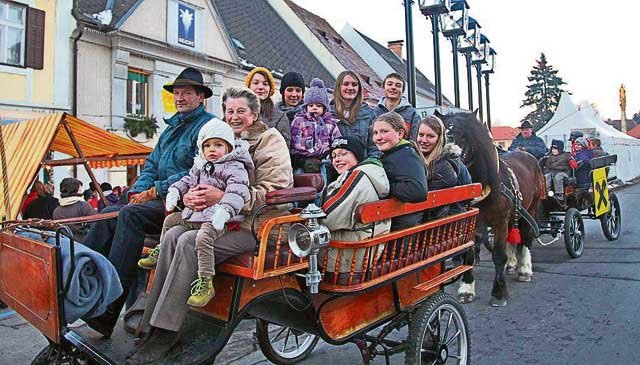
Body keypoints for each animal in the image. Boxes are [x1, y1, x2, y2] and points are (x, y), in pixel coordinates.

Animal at [440, 112, 544, 306]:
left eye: (464, 135)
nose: (449, 157)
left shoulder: (499, 221)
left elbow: (498, 255)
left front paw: (499, 292)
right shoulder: (472, 224)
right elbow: (469, 255)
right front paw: (467, 289)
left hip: (531, 209)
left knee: (526, 237)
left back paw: (524, 269)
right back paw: (512, 263)